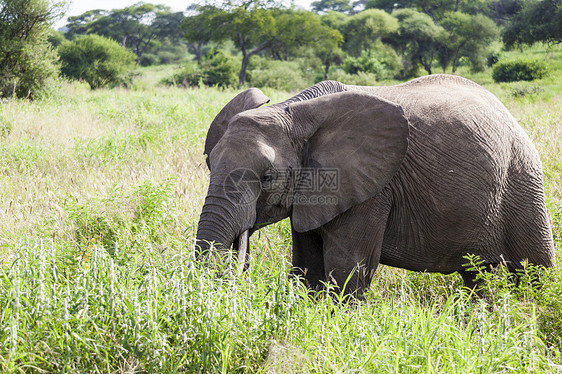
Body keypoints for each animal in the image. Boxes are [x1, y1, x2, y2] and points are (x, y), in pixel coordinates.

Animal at [195, 74, 552, 296]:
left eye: (267, 177)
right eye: (210, 164)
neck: (290, 110)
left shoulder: (371, 191)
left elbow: (345, 275)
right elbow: (308, 269)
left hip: (523, 181)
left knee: (534, 274)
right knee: (477, 278)